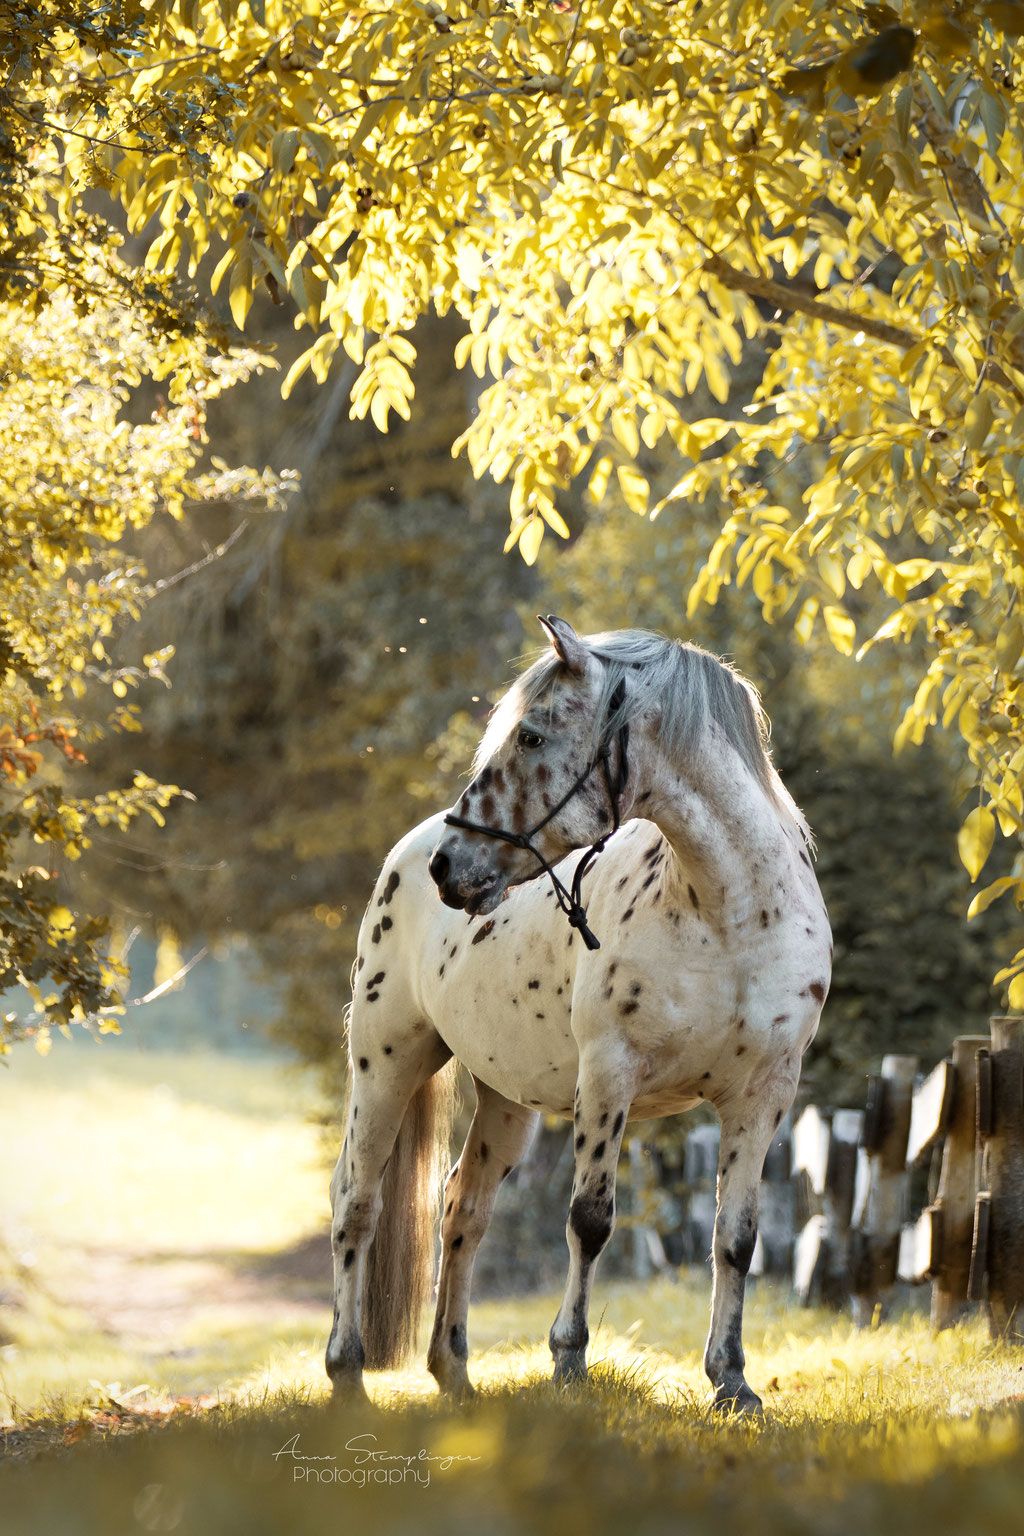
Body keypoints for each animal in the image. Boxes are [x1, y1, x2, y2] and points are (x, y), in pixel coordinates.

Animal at [328, 617, 835, 1406]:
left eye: (532, 735)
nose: (450, 865)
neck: (733, 920)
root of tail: (404, 852)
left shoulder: (764, 1094)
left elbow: (737, 1237)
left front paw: (732, 1381)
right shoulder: (608, 1077)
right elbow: (591, 1221)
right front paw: (569, 1361)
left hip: (505, 1099)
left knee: (463, 1209)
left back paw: (454, 1374)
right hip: (386, 1066)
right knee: (358, 1202)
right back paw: (347, 1375)